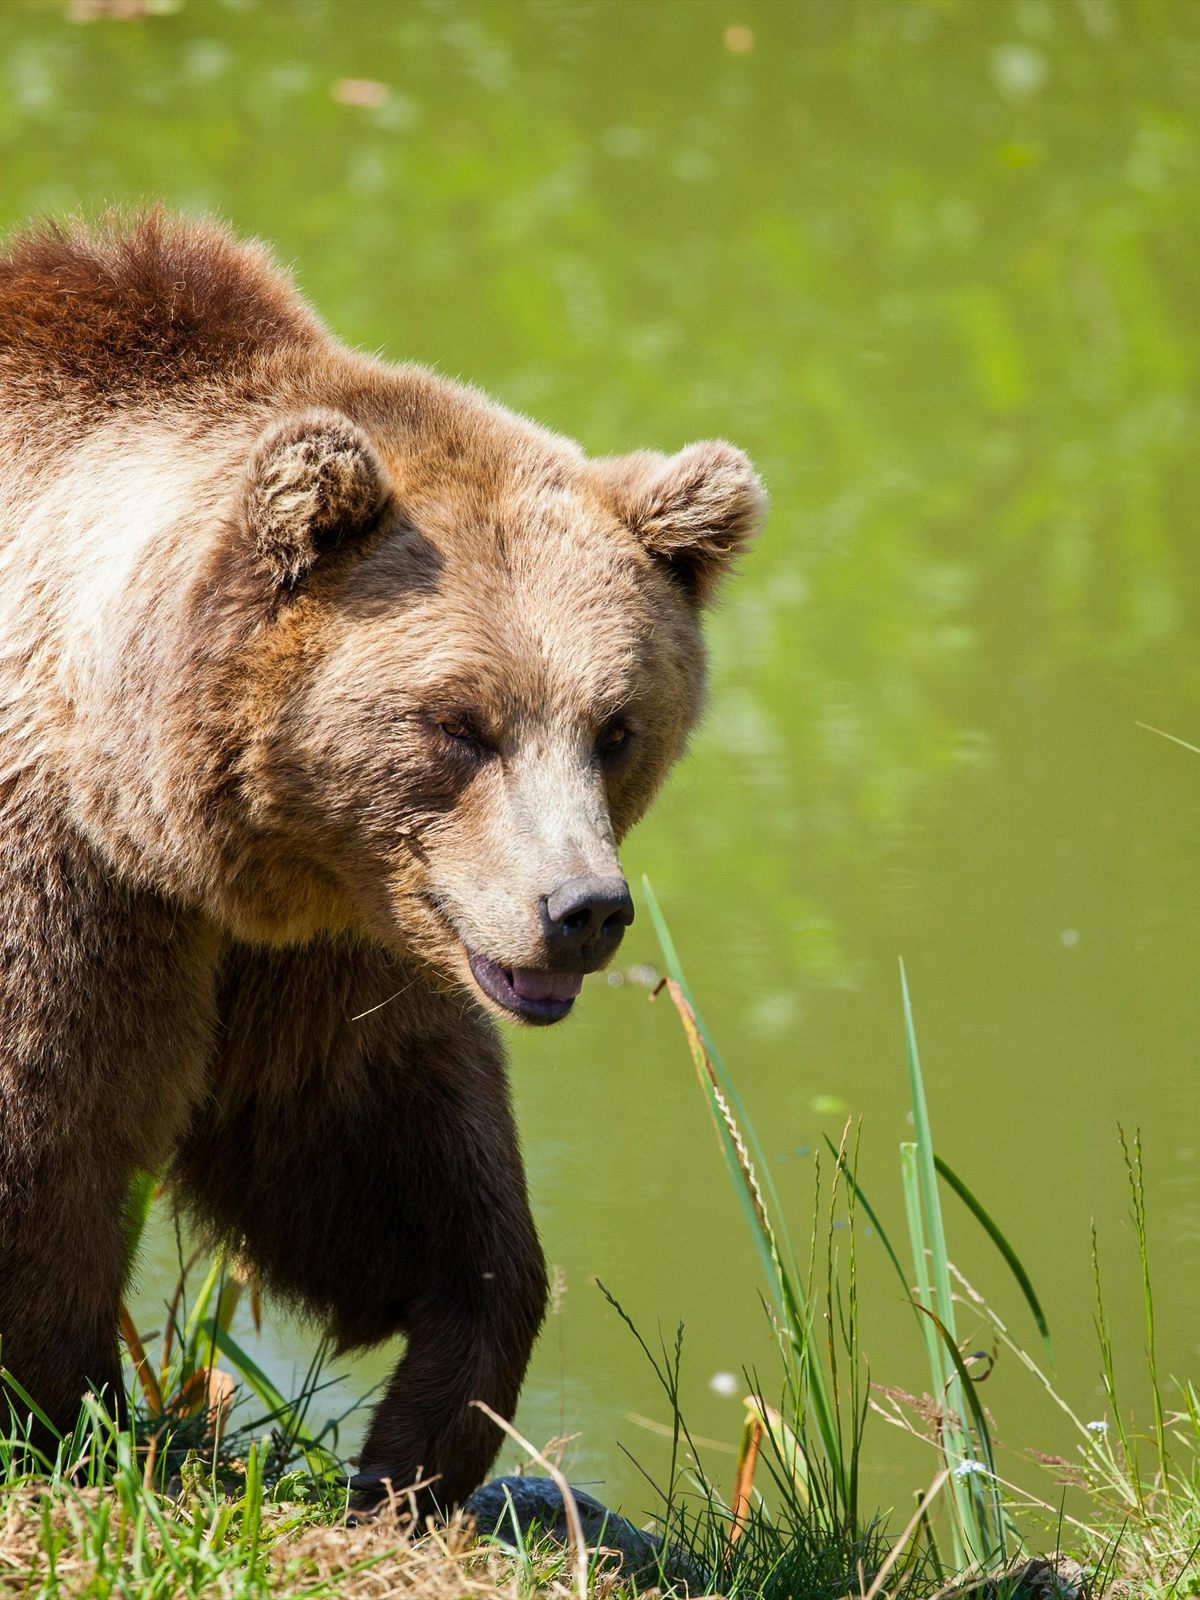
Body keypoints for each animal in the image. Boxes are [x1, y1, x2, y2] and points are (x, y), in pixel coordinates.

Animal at [0, 211, 765, 1512]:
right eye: (459, 721)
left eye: (616, 725)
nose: (583, 909)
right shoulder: (74, 883)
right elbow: (48, 1121)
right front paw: (70, 1411)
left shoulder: (333, 934)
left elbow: (363, 1139)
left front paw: (423, 1431)